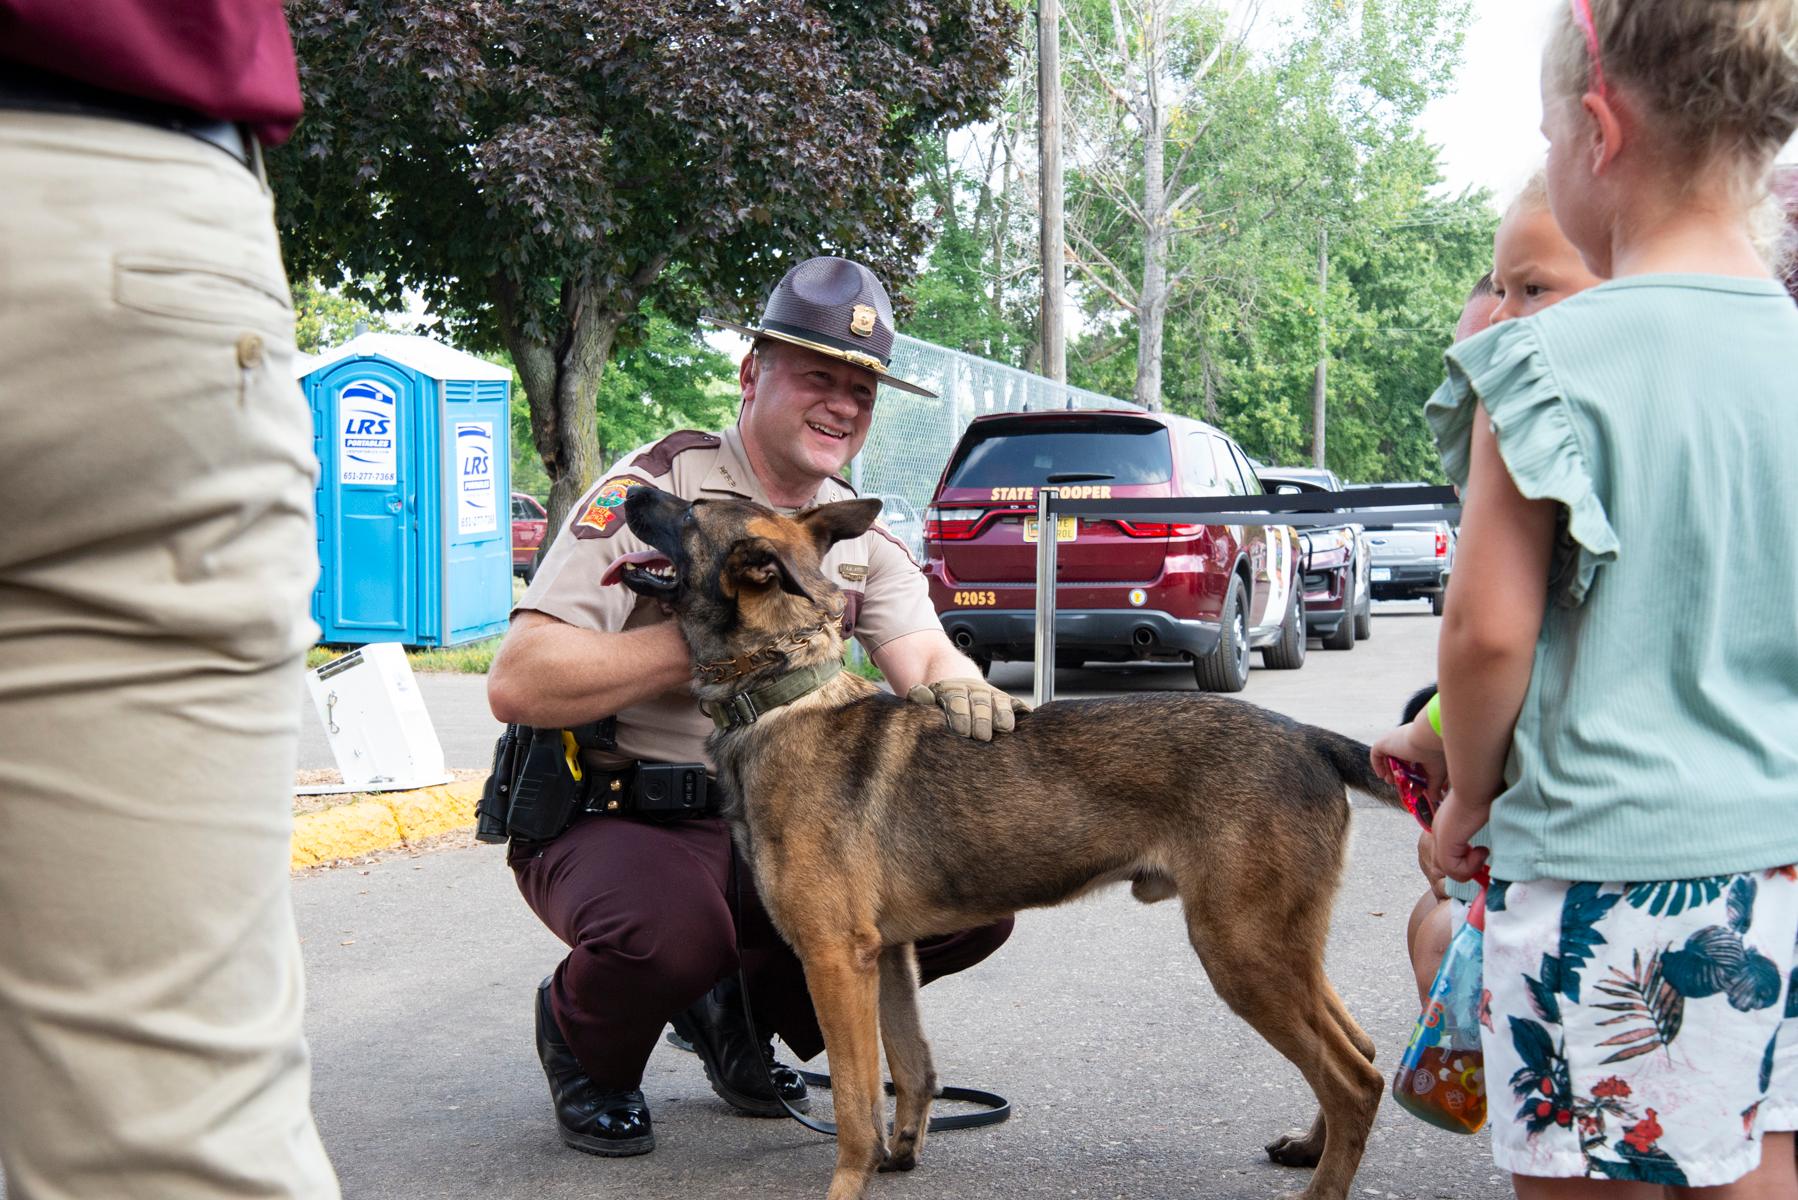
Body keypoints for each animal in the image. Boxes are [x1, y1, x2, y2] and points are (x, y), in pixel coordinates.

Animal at [611, 489, 1409, 1200]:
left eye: (690, 511)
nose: (627, 493)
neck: (784, 694)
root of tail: (1308, 738)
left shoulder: (836, 960)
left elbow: (854, 1106)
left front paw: (850, 1182)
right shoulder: (887, 957)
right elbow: (911, 1070)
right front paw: (900, 1158)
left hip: (1242, 951)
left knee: (1356, 1079)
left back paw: (1321, 1184)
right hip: (1279, 949)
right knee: (1362, 1050)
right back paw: (1309, 1148)